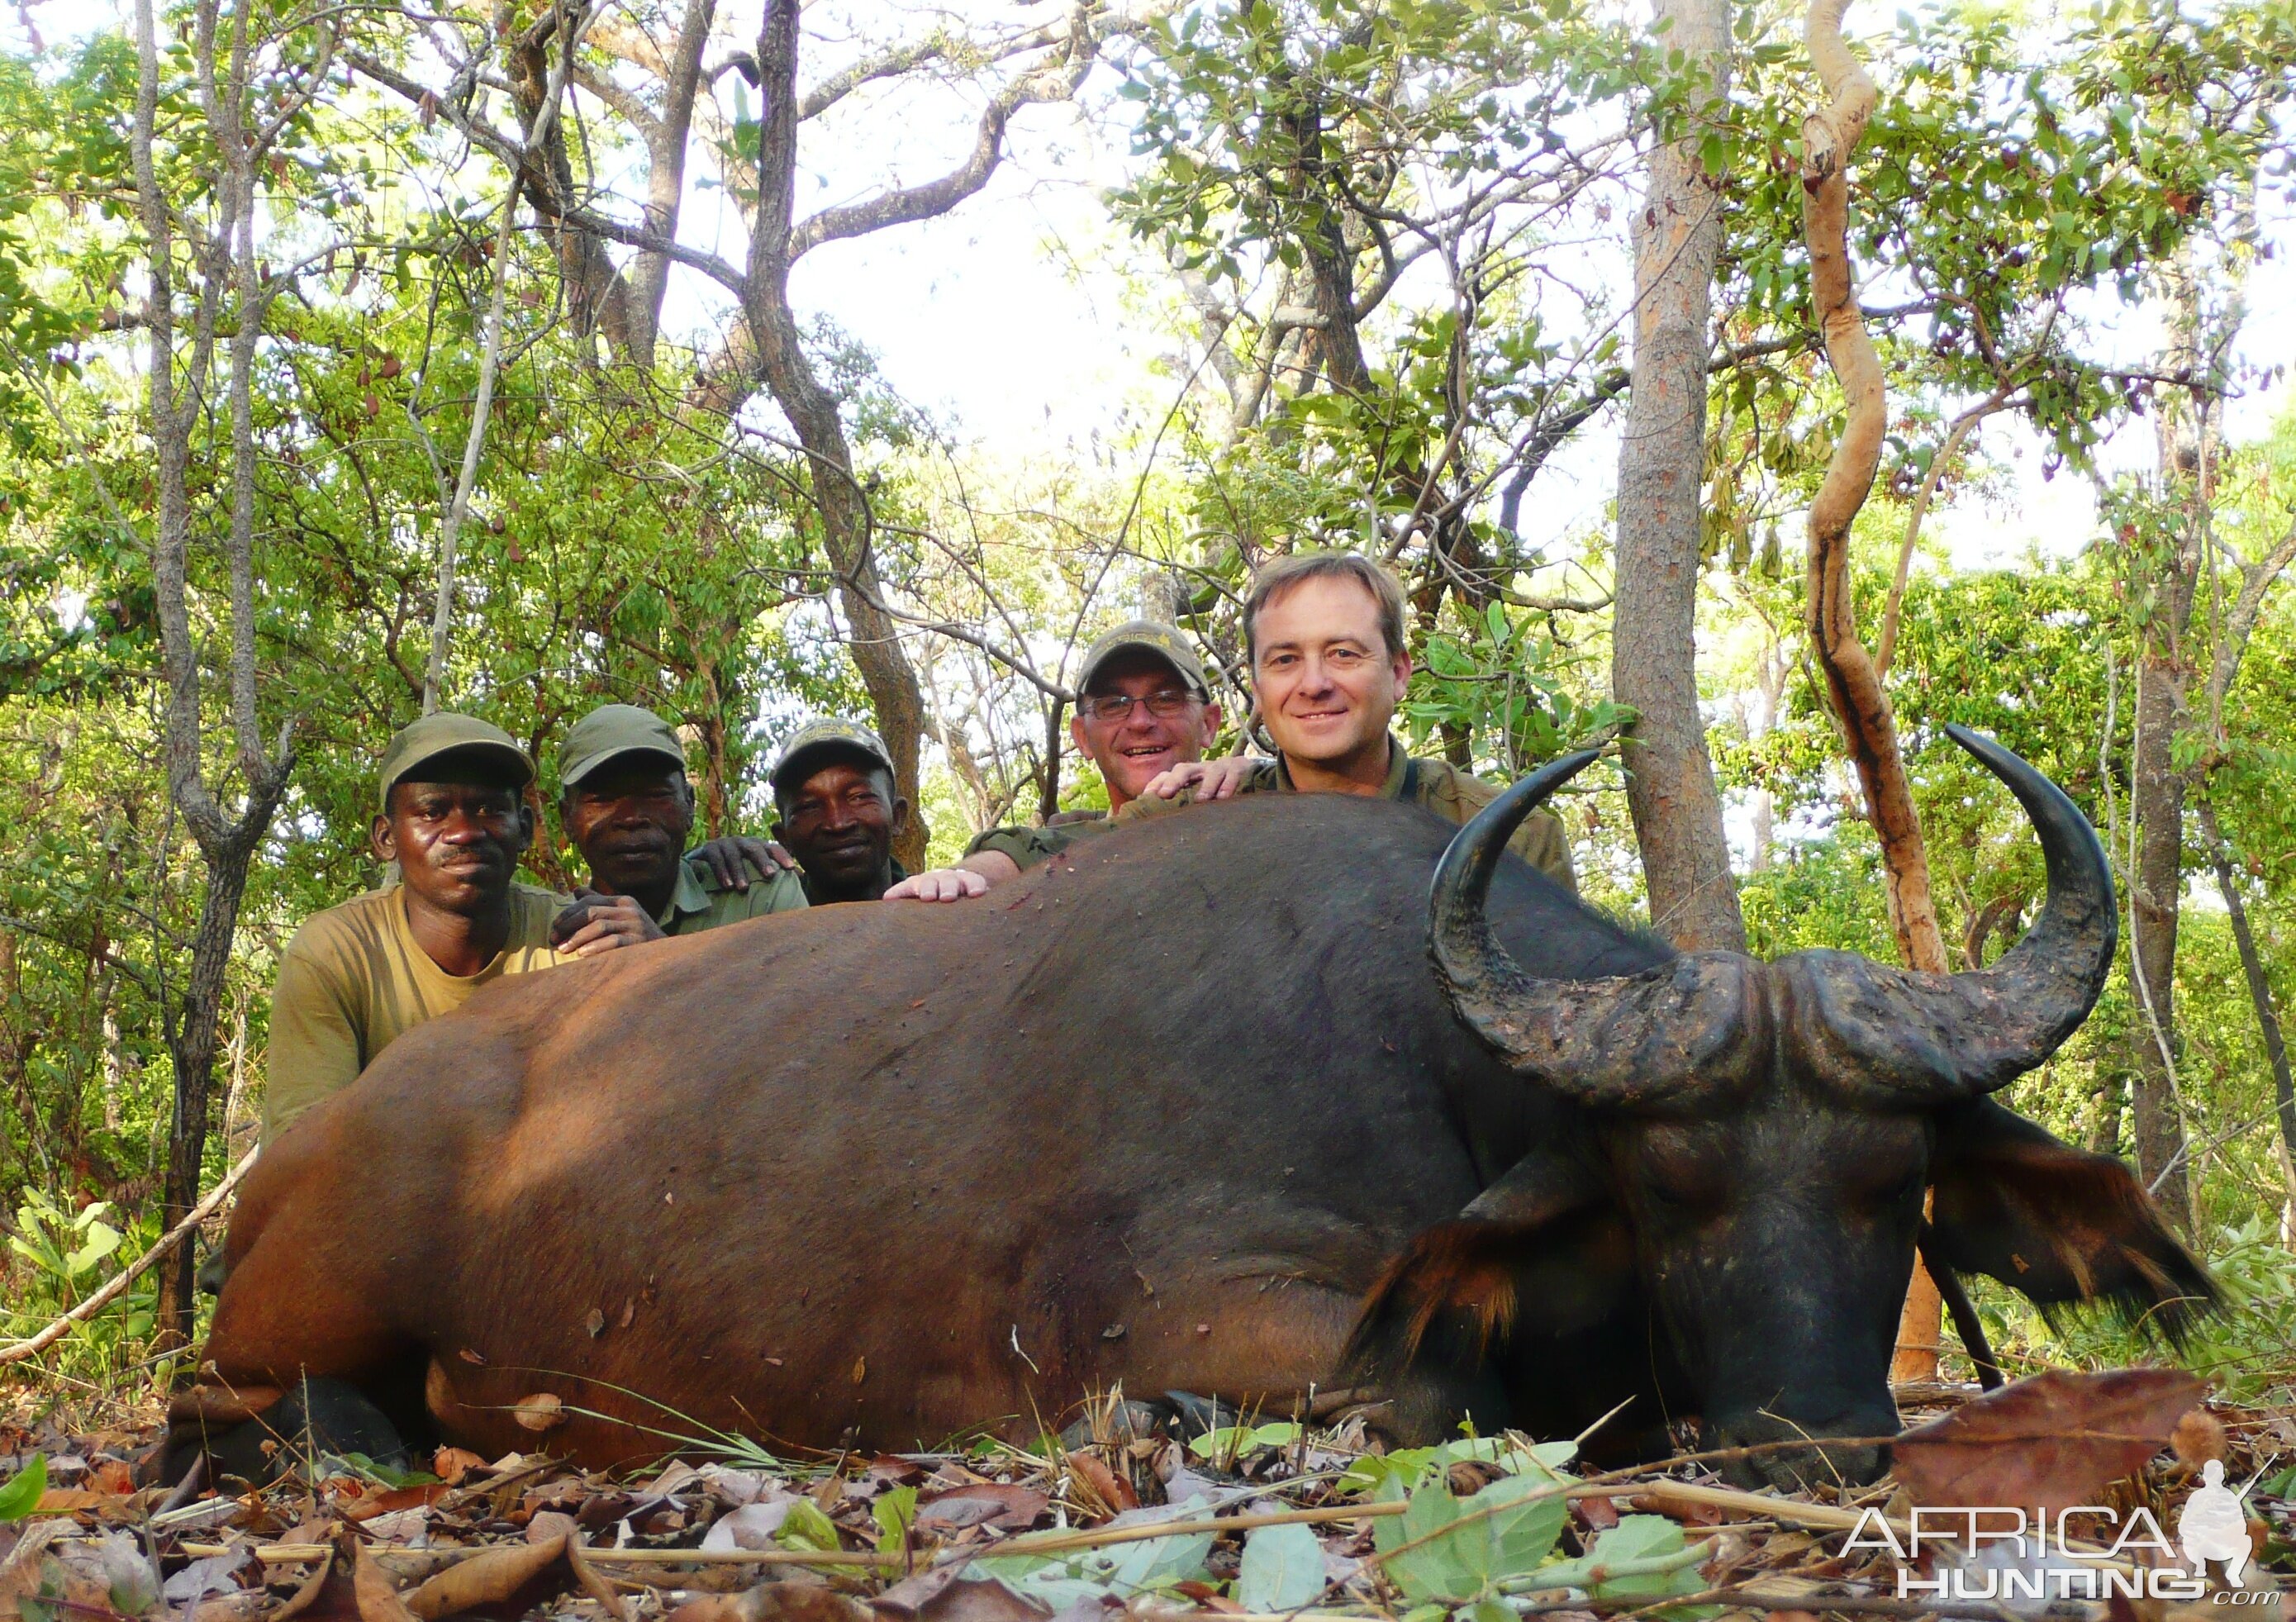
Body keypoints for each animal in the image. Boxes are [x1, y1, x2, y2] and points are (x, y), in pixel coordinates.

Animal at [193, 725, 2203, 1488]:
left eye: (1893, 1186)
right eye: (1671, 1190)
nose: (1810, 1442)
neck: (1434, 1053)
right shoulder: (1232, 1309)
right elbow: (1431, 1389)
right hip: (310, 1324)